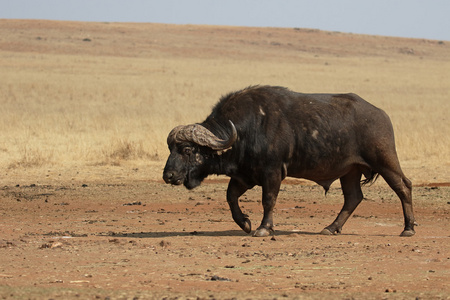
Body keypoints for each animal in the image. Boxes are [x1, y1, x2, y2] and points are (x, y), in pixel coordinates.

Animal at [163, 85, 416, 238]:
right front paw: (244, 223)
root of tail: (381, 114)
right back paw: (330, 228)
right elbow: (230, 197)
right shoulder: (245, 176)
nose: (168, 176)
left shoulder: (272, 172)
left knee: (404, 186)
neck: (246, 130)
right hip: (350, 171)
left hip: (385, 160)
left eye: (186, 149)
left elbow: (268, 200)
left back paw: (408, 228)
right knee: (353, 197)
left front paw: (263, 228)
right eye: (170, 148)